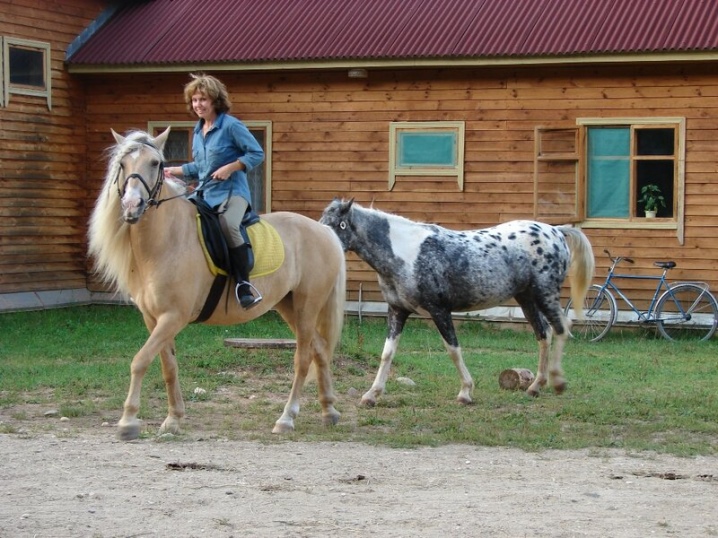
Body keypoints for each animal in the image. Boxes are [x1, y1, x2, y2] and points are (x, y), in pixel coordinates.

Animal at [88, 127, 348, 438]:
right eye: (122, 165)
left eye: (156, 163)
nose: (131, 206)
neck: (169, 239)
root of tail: (324, 232)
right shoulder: (154, 319)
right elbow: (168, 366)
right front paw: (173, 418)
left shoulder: (173, 317)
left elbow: (139, 361)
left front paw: (128, 421)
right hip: (289, 306)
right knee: (320, 349)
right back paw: (329, 410)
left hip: (307, 307)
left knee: (303, 358)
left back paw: (287, 418)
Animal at [322, 199, 596, 404]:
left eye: (340, 224)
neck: (406, 255)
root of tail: (557, 230)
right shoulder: (397, 311)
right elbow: (387, 353)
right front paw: (371, 395)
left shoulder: (439, 310)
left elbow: (453, 349)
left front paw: (465, 392)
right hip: (527, 298)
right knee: (544, 335)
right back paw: (535, 387)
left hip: (545, 293)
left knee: (561, 329)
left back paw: (557, 383)